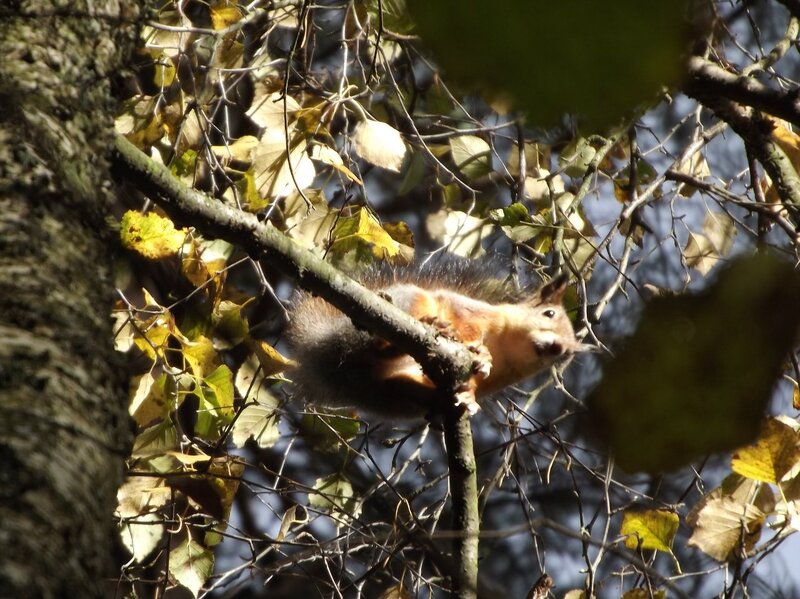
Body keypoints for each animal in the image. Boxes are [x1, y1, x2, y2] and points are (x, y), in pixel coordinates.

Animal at [285, 255, 584, 419]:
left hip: (389, 393)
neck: (509, 348)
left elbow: (473, 384)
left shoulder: (502, 376)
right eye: (548, 313)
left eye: (567, 352)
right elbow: (464, 320)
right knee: (375, 341)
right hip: (401, 306)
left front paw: (469, 396)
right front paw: (478, 349)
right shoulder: (473, 311)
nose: (556, 347)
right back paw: (430, 328)